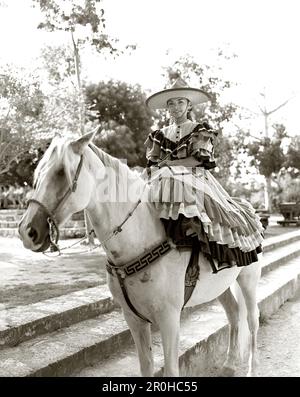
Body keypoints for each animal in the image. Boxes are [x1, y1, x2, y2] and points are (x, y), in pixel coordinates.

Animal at [19, 131, 262, 376]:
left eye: (61, 172)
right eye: (38, 173)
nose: (27, 231)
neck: (139, 238)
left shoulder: (169, 319)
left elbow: (171, 369)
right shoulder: (134, 319)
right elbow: (146, 366)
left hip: (249, 279)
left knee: (252, 320)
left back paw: (251, 368)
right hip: (221, 286)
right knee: (233, 313)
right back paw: (230, 364)